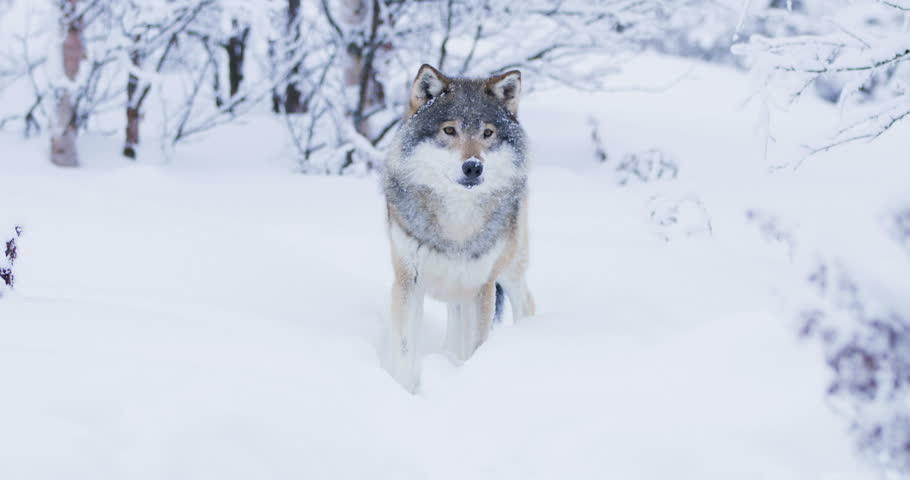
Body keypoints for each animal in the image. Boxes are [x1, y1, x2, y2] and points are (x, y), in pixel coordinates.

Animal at [382, 64, 535, 392]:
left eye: (488, 133)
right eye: (449, 130)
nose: (473, 167)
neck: (456, 222)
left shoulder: (482, 287)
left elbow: (476, 346)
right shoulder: (408, 283)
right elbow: (405, 350)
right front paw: (403, 390)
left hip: (510, 267)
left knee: (526, 303)